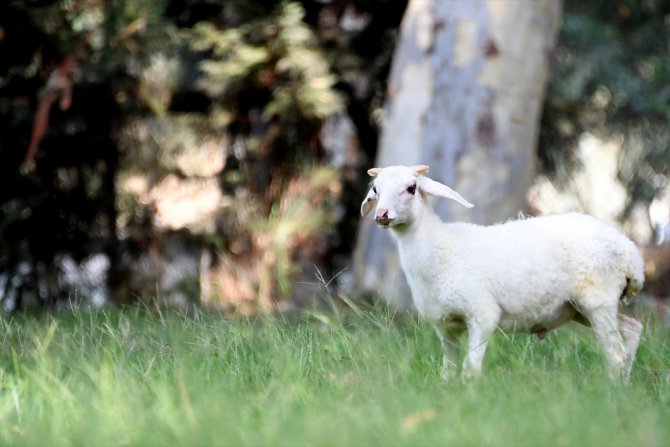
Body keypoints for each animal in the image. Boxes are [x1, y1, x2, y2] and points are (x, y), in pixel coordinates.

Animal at [362, 166, 644, 384]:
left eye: (411, 188)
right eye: (375, 190)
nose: (381, 215)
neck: (440, 246)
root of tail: (631, 254)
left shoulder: (482, 314)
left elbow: (471, 369)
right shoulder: (446, 326)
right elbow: (449, 370)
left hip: (597, 299)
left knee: (616, 354)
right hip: (580, 308)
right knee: (633, 328)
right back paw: (625, 385)